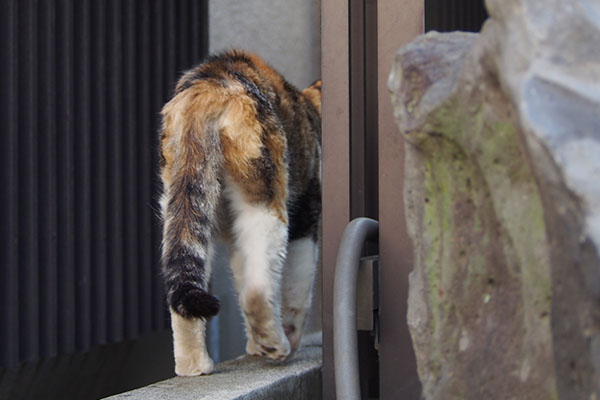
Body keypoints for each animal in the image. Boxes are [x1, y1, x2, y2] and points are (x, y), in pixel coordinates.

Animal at [157, 50, 322, 376]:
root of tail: (208, 83)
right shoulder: (306, 219)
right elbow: (298, 286)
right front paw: (283, 337)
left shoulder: (235, 240)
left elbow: (242, 274)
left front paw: (255, 347)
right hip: (265, 201)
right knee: (256, 291)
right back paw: (277, 344)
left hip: (186, 205)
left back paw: (194, 365)